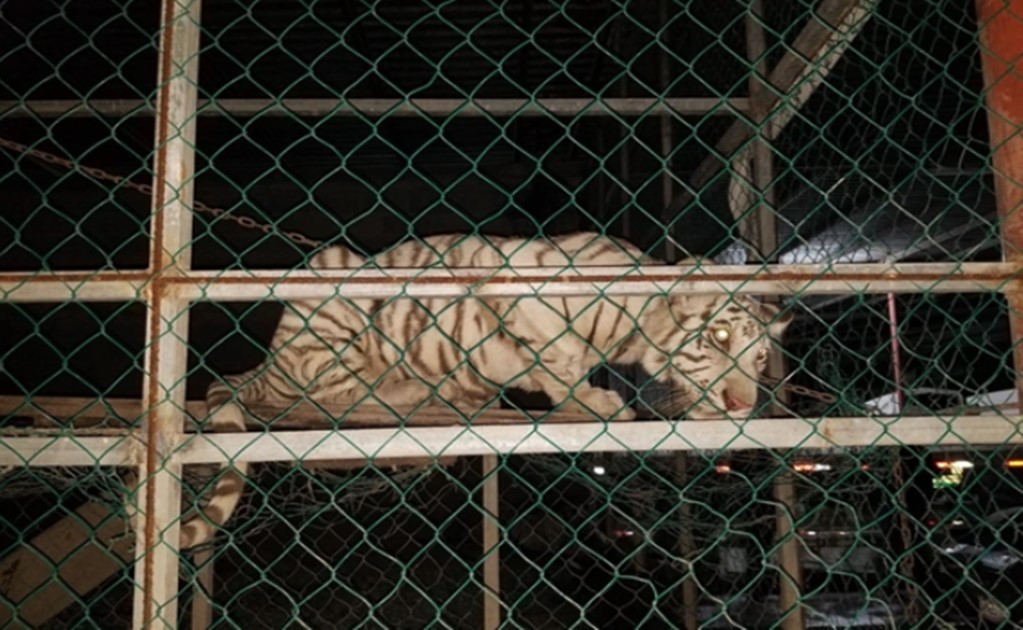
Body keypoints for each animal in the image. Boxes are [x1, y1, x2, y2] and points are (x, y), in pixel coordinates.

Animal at [180, 234, 793, 548]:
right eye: (718, 338)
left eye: (760, 358)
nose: (743, 404)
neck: (635, 332)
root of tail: (268, 361)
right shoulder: (515, 276)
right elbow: (557, 357)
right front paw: (591, 401)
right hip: (331, 289)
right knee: (329, 389)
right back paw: (415, 391)